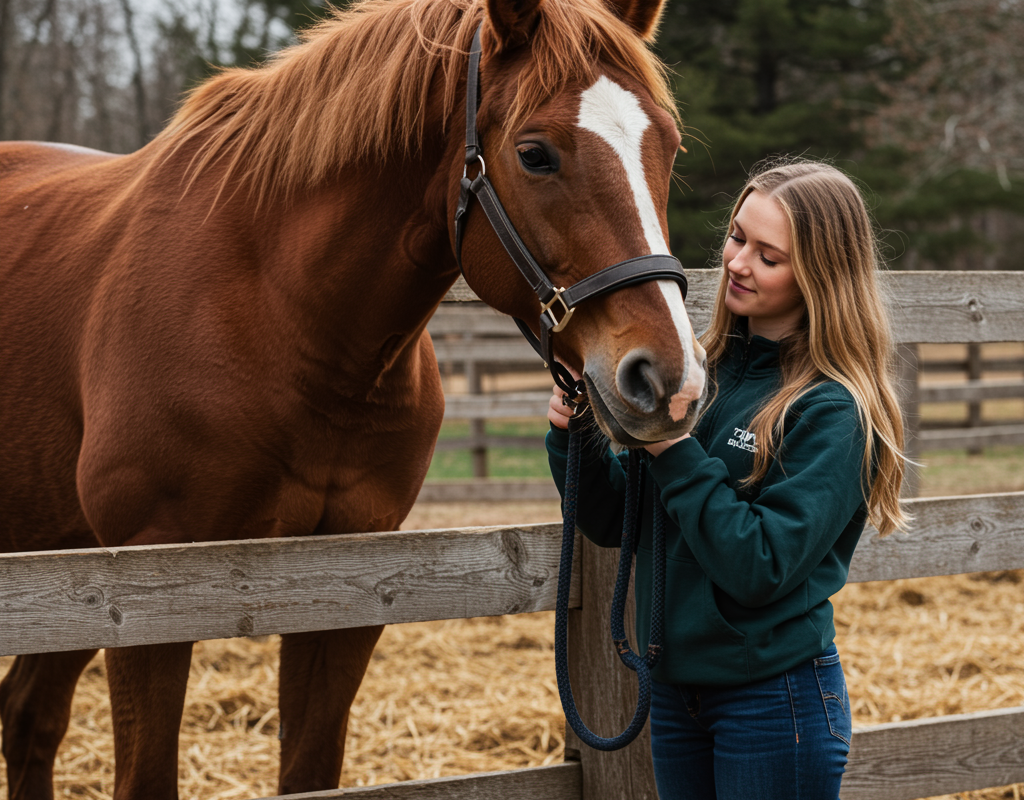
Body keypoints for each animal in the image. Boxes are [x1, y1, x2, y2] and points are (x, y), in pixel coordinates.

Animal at [0, 0, 707, 795]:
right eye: (535, 154)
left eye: (668, 145)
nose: (669, 379)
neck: (285, 320)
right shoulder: (144, 596)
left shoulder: (350, 586)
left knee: (28, 718)